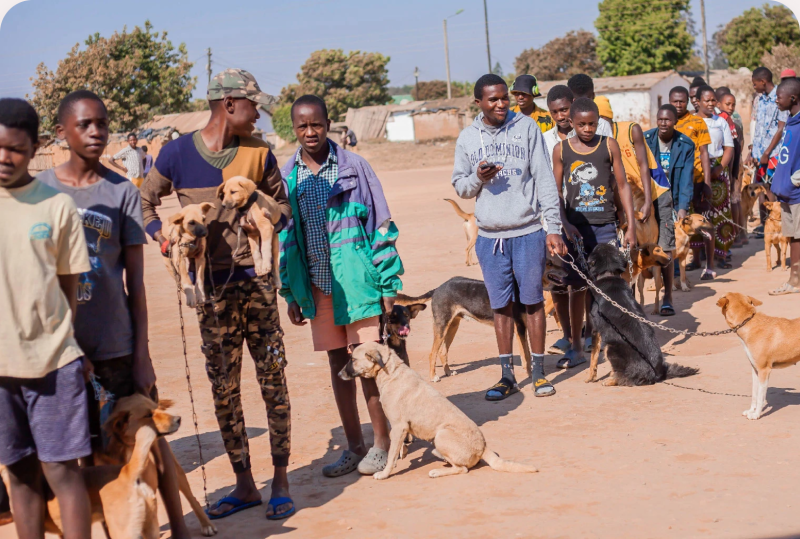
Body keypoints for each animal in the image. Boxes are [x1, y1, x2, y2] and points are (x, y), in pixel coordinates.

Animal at [340, 344, 536, 478]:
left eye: (352, 360)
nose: (338, 374)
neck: (390, 370)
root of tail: (484, 447)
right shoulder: (399, 429)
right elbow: (398, 448)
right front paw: (403, 452)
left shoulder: (398, 427)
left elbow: (390, 455)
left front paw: (385, 473)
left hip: (441, 435)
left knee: (462, 469)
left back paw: (436, 471)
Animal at [396, 262, 564, 384]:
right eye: (549, 264)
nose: (567, 270)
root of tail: (438, 288)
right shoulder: (520, 328)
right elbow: (527, 355)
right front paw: (530, 374)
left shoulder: (526, 327)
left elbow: (529, 354)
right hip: (441, 326)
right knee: (433, 353)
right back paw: (433, 376)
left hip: (453, 326)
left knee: (443, 352)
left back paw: (448, 372)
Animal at [584, 243, 696, 386]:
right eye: (657, 250)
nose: (670, 259)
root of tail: (657, 374)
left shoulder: (596, 329)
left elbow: (593, 357)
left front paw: (590, 377)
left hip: (611, 347)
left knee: (623, 376)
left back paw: (611, 380)